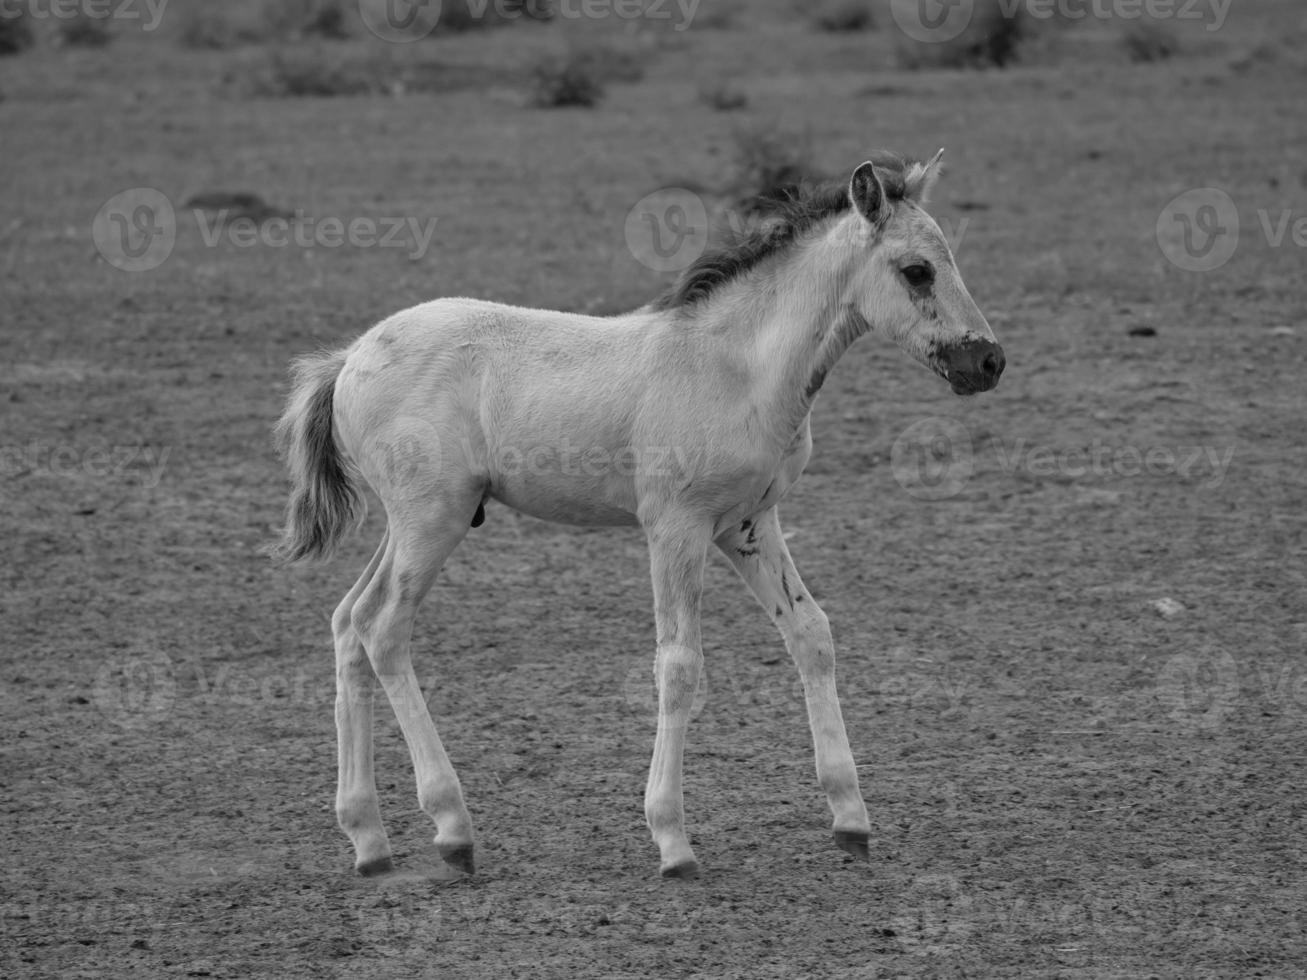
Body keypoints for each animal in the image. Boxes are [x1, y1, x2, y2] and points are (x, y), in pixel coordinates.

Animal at [275, 153, 1003, 883]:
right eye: (917, 270)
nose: (989, 361)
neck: (738, 368)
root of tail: (350, 357)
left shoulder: (750, 524)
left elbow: (811, 635)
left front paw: (850, 818)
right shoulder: (675, 528)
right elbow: (678, 665)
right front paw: (672, 840)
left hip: (406, 526)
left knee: (348, 623)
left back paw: (369, 839)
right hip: (432, 520)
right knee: (382, 630)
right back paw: (451, 826)